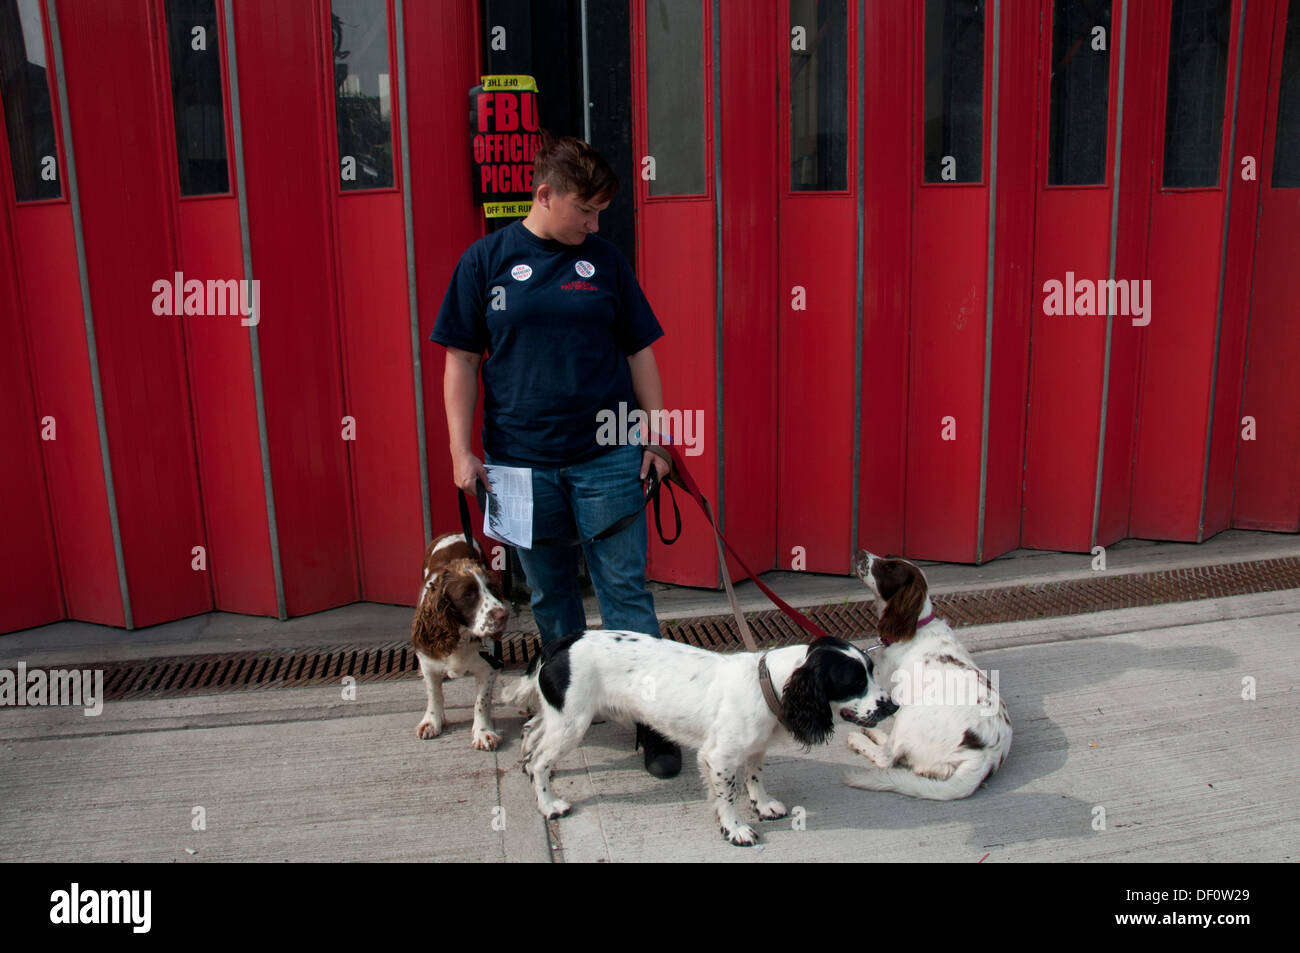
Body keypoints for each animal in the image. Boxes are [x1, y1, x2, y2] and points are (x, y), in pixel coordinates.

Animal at [410, 530, 506, 748]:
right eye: (468, 594)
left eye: (492, 589)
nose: (503, 614)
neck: (461, 635)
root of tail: (454, 532)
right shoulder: (429, 662)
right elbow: (434, 694)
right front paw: (432, 722)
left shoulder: (487, 666)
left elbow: (481, 701)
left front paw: (483, 732)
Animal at [501, 634, 899, 842]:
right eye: (854, 681)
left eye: (872, 670)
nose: (893, 705)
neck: (765, 682)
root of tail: (560, 643)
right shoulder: (718, 756)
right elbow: (727, 794)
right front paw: (735, 828)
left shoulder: (754, 748)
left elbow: (755, 777)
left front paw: (763, 805)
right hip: (573, 722)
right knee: (540, 760)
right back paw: (549, 803)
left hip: (560, 717)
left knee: (531, 734)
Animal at [842, 551, 1013, 795]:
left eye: (890, 567)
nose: (859, 552)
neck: (915, 627)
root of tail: (983, 757)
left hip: (910, 714)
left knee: (887, 757)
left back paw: (861, 738)